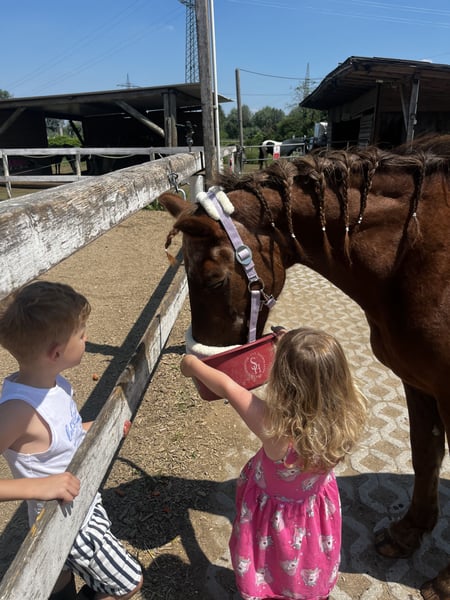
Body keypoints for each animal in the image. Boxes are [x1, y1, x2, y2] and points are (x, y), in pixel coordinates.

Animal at [159, 135, 450, 600]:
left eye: (215, 279)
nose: (205, 361)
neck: (417, 252)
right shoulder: (419, 381)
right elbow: (425, 453)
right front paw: (408, 534)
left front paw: (444, 581)